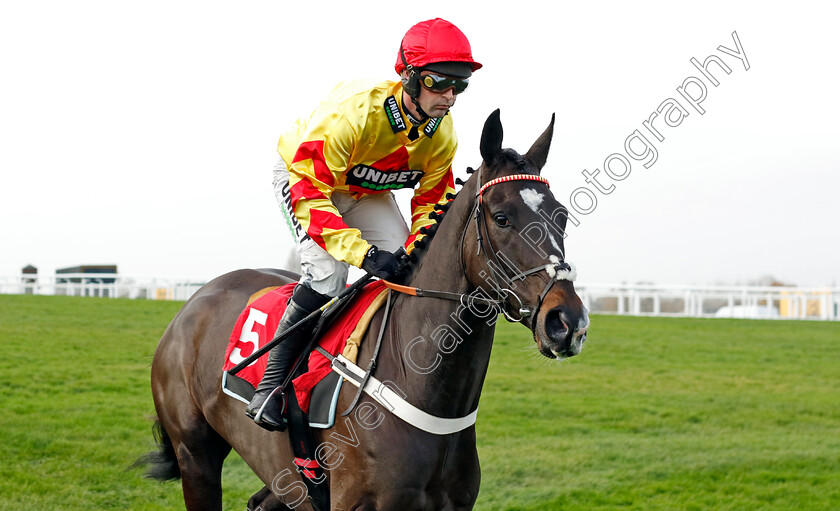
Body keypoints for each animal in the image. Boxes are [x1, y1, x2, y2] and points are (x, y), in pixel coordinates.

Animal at [143, 111, 592, 511]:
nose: (567, 322)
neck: (422, 387)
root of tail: (195, 301)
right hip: (195, 456)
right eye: (501, 217)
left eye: (563, 215)